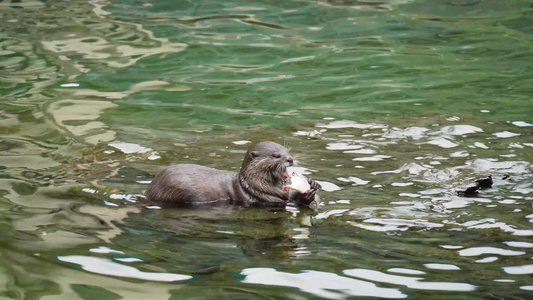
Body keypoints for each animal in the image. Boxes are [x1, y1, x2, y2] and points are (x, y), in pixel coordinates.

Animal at [143, 142, 318, 207]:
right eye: (276, 155)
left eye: (287, 150)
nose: (290, 159)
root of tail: (150, 191)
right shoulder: (266, 198)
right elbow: (288, 201)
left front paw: (312, 185)